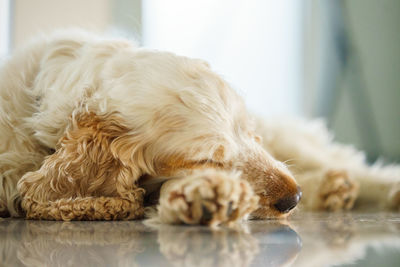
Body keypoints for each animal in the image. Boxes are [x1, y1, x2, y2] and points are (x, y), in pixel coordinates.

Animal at [0, 30, 398, 225]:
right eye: (207, 160)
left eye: (248, 131)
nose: (293, 198)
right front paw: (206, 196)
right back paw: (330, 190)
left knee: (346, 162)